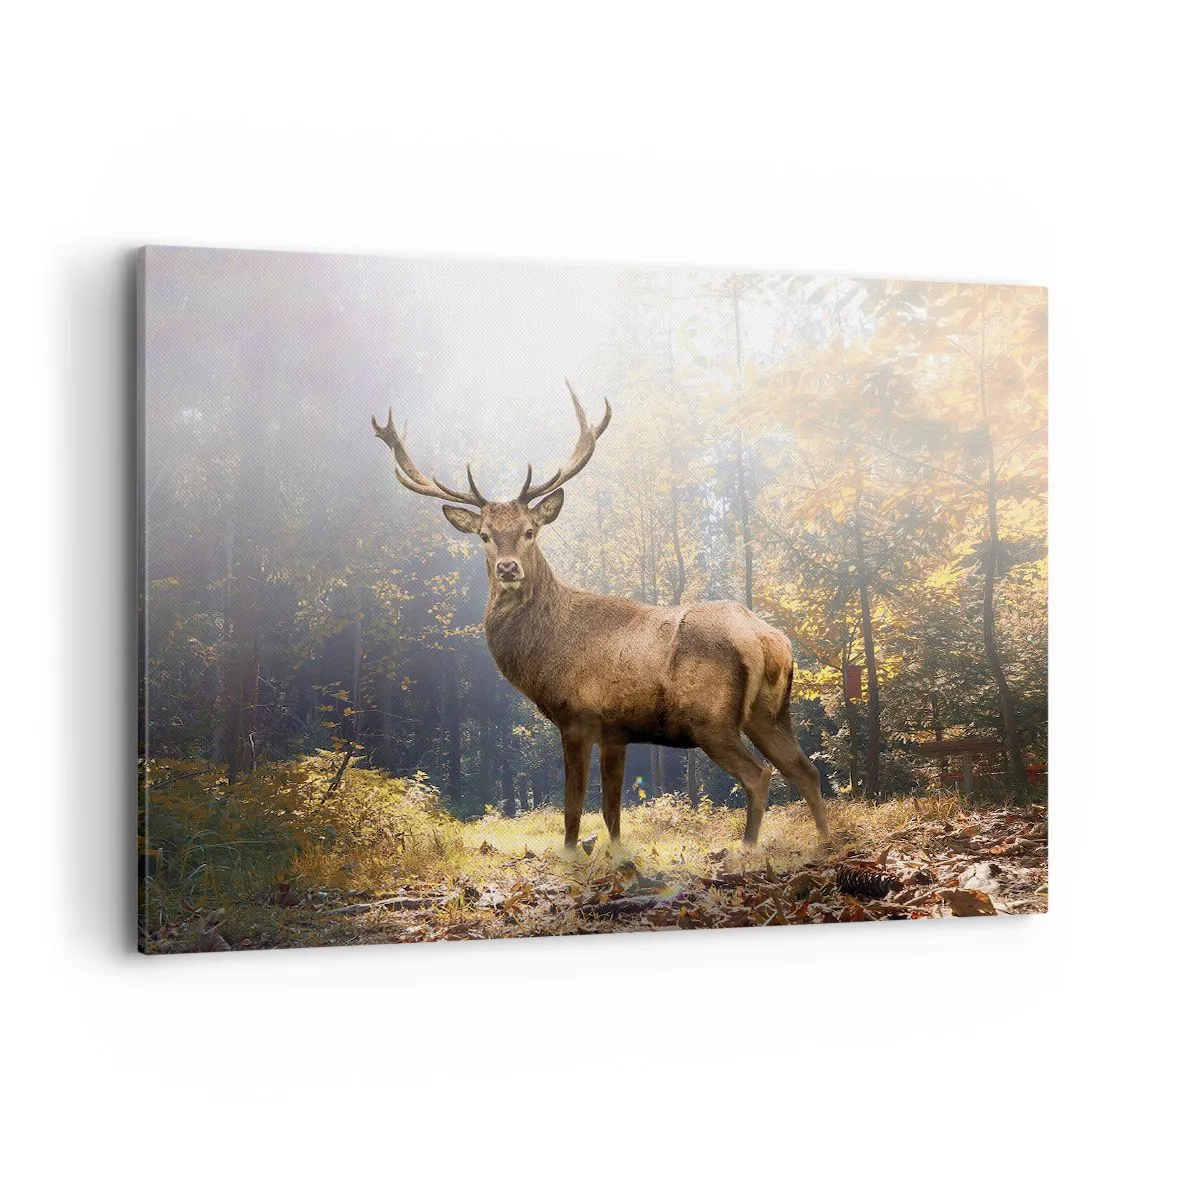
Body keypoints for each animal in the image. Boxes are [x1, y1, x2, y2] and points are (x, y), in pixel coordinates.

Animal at [371, 383, 830, 850]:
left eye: (529, 531)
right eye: (484, 535)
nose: (508, 568)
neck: (544, 652)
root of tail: (768, 639)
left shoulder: (577, 716)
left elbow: (573, 807)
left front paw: (572, 854)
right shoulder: (617, 731)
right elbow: (612, 811)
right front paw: (616, 853)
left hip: (711, 718)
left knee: (760, 775)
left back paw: (747, 848)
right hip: (770, 713)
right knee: (807, 770)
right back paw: (826, 841)